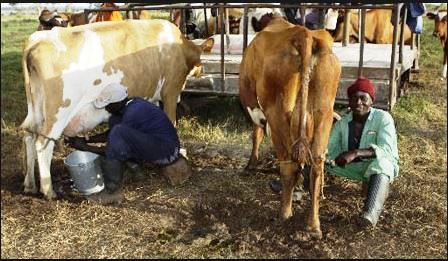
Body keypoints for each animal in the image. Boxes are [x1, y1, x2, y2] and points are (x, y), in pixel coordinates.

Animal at [21, 19, 214, 198]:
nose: (202, 71)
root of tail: (37, 40)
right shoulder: (171, 90)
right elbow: (171, 121)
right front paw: (179, 154)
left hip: (35, 109)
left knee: (29, 136)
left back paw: (30, 185)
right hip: (59, 111)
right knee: (42, 144)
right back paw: (48, 191)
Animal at [240, 16, 342, 238]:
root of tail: (305, 35)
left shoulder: (258, 110)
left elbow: (256, 134)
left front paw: (251, 164)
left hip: (277, 113)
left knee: (288, 165)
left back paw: (285, 213)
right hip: (324, 113)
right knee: (316, 165)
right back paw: (313, 225)